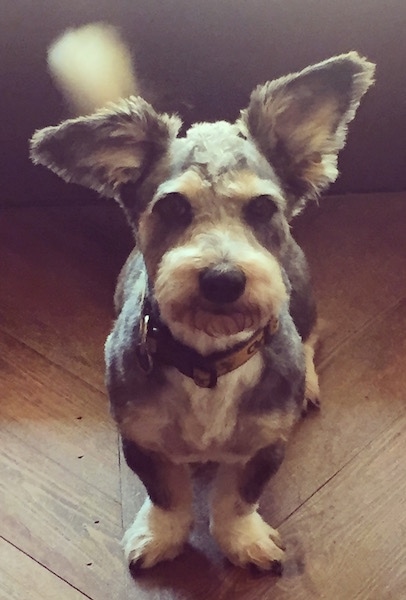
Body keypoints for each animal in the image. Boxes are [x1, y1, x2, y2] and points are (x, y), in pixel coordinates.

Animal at [30, 24, 376, 572]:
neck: (209, 361)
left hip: (303, 295)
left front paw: (243, 541)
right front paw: (160, 537)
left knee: (312, 336)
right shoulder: (140, 437)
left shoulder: (267, 444)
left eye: (262, 208)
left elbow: (238, 498)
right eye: (172, 206)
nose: (222, 279)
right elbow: (167, 495)